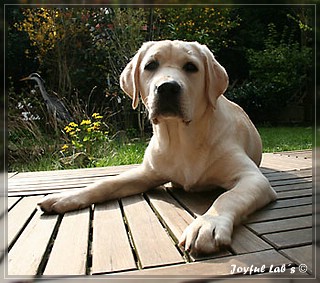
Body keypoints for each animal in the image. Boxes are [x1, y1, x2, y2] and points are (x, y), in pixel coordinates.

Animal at [38, 41, 276, 256]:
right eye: (151, 65)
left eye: (191, 67)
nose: (167, 87)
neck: (182, 139)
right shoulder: (147, 172)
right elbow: (106, 183)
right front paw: (66, 196)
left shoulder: (252, 178)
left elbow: (228, 197)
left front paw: (207, 224)